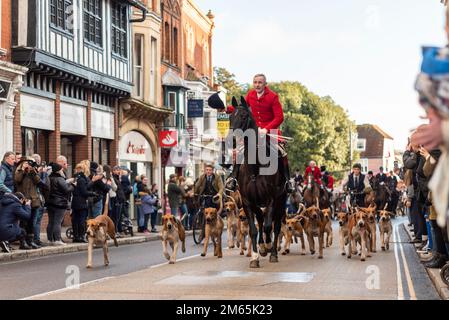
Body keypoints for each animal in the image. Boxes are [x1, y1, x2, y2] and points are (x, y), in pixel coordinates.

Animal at [228, 95, 288, 268]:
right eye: (230, 117)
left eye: (243, 116)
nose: (231, 141)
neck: (255, 167)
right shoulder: (248, 202)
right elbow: (254, 229)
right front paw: (255, 256)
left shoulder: (272, 200)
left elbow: (269, 227)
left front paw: (267, 247)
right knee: (261, 220)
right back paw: (261, 247)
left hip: (281, 201)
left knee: (275, 226)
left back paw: (272, 251)